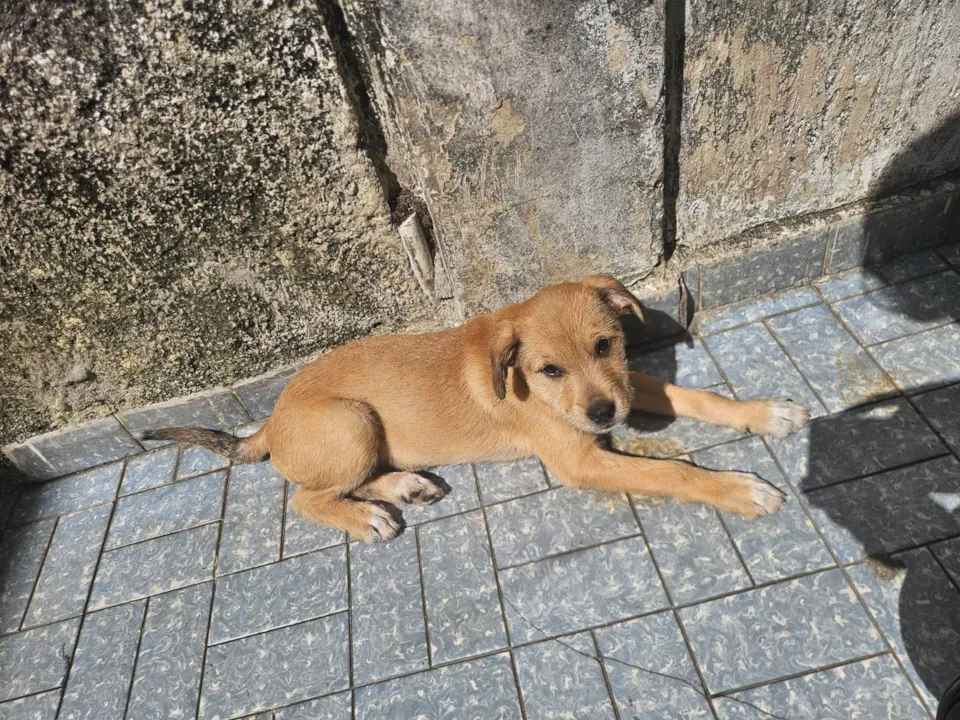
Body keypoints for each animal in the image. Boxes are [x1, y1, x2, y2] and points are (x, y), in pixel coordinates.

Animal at [145, 275, 808, 542]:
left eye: (605, 344)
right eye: (549, 370)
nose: (602, 416)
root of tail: (271, 422)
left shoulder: (623, 384)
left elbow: (696, 396)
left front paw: (763, 413)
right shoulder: (580, 460)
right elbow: (672, 472)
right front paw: (738, 489)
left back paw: (406, 485)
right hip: (351, 420)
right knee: (307, 498)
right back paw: (367, 518)